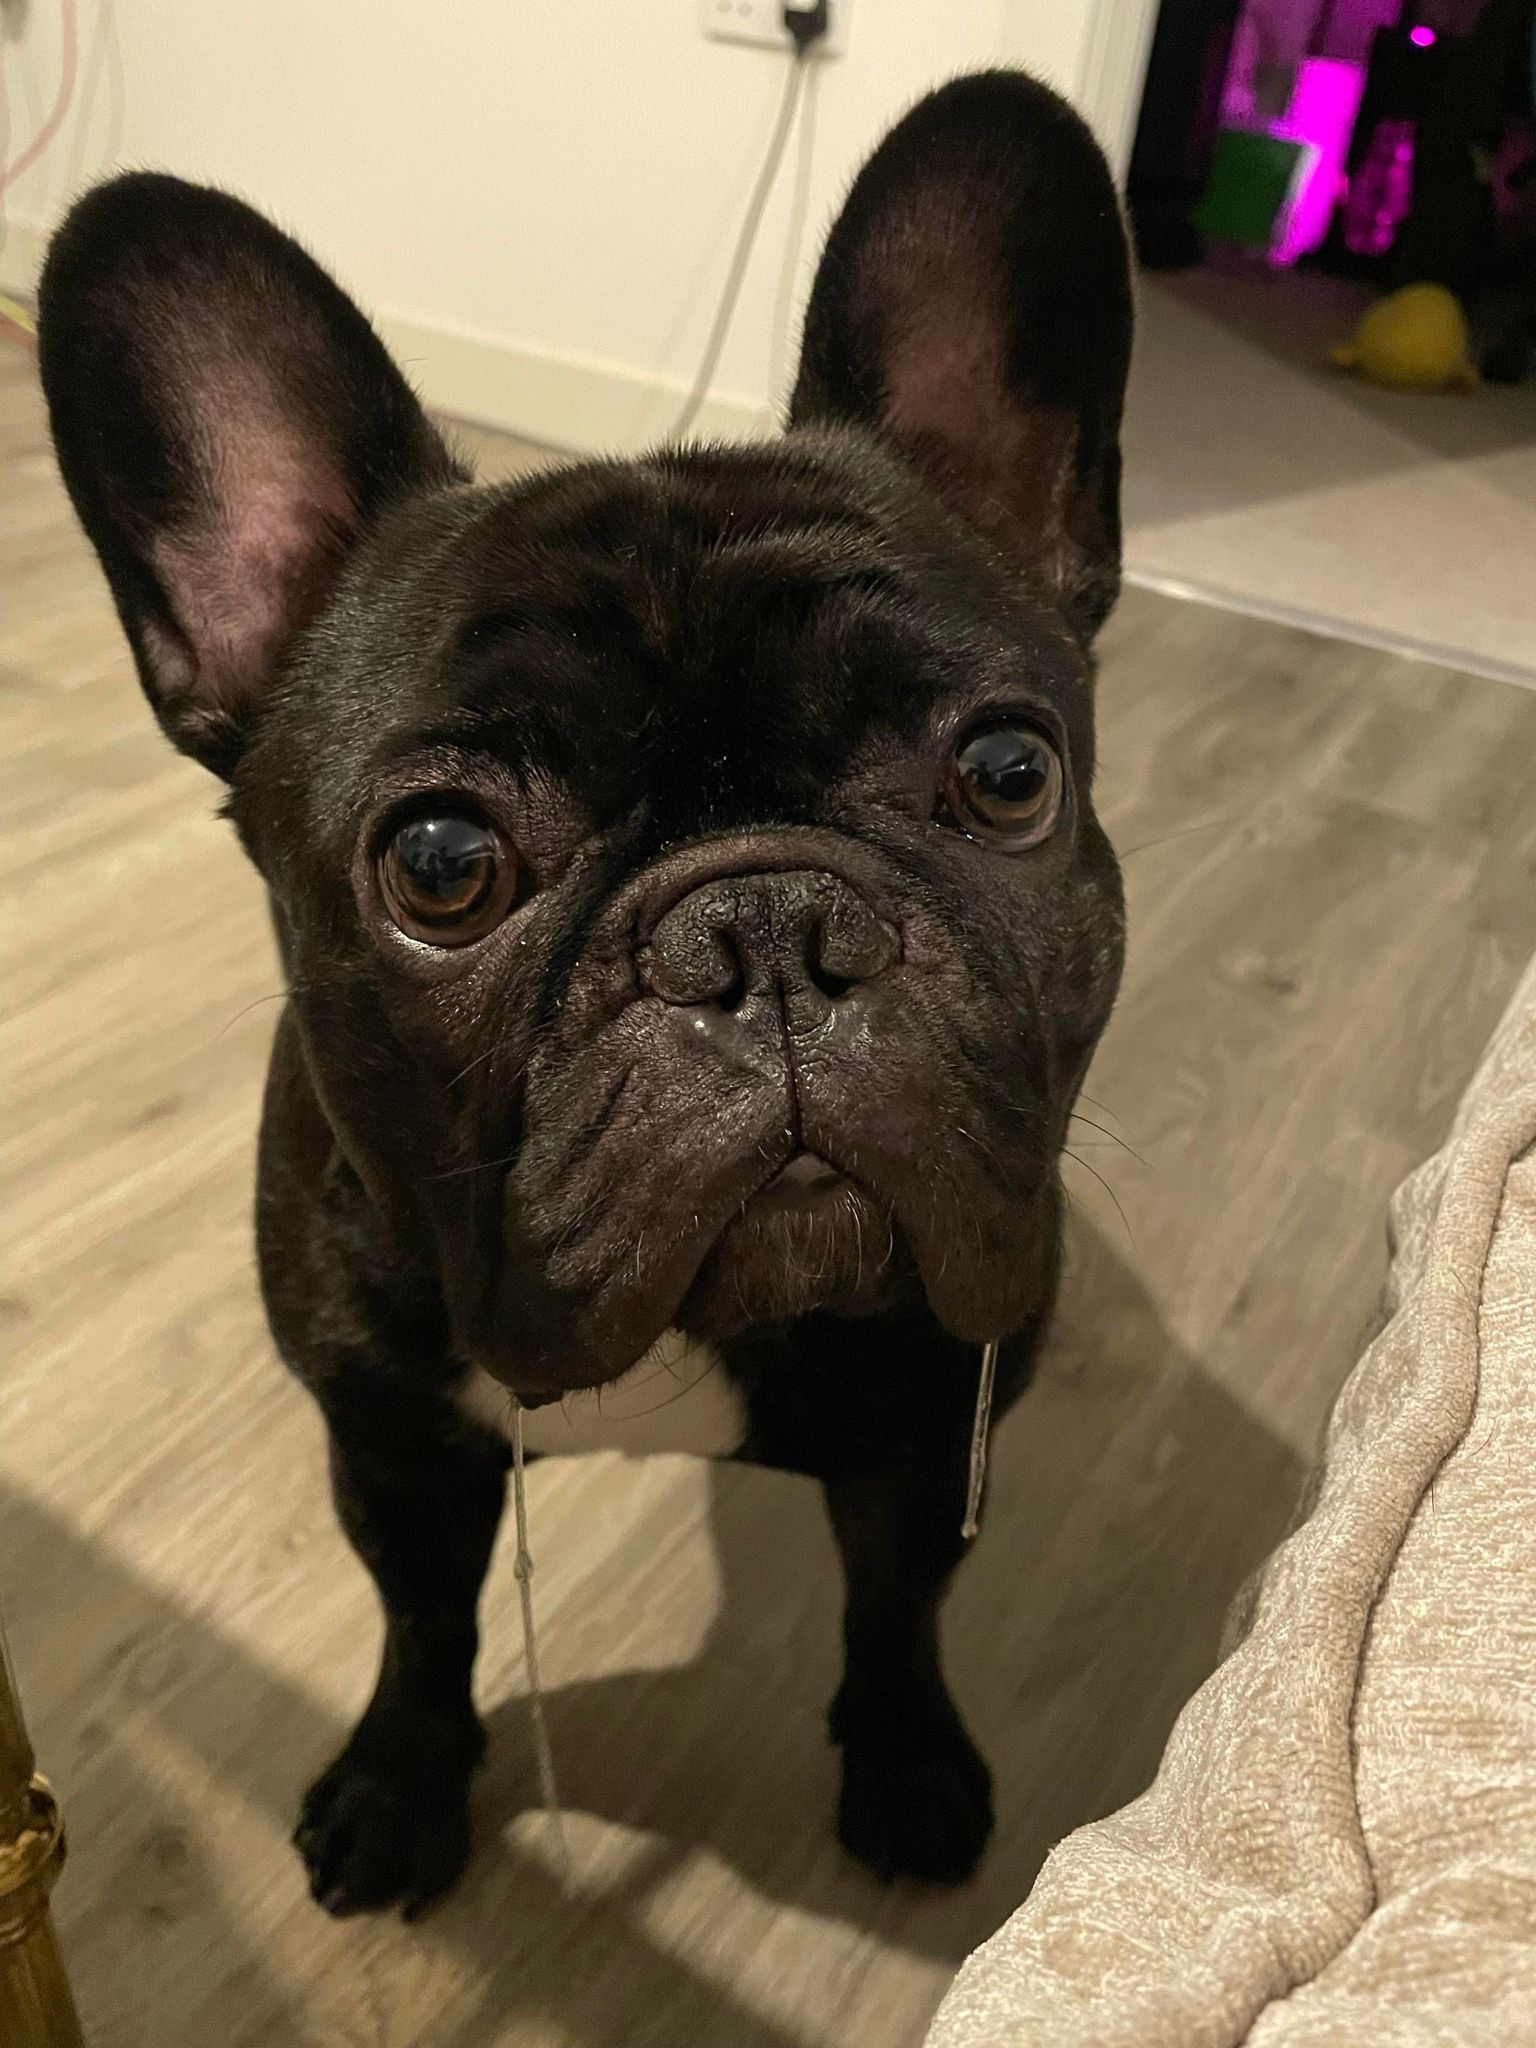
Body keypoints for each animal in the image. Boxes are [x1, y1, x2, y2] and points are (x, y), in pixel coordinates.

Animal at [38, 69, 1133, 1916]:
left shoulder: (931, 1423)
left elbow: (899, 1607)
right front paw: (402, 1782)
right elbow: (423, 1626)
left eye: (1005, 773)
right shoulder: (394, 1443)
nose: (763, 926)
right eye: (439, 865)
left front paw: (909, 1761)